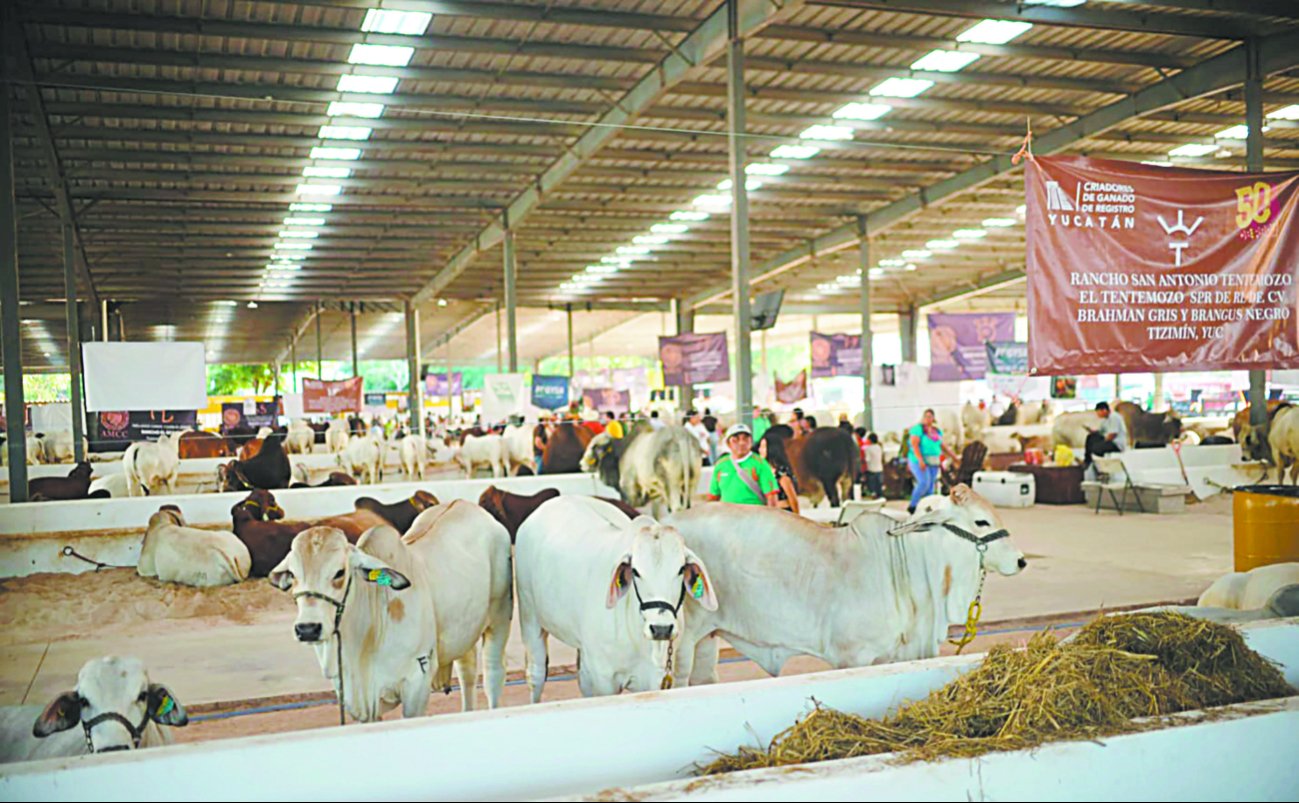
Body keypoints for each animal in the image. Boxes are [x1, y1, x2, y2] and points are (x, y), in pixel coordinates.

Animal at [268, 498, 511, 717]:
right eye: (293, 574)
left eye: (339, 572)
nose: (308, 628)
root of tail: (471, 506)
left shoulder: (417, 681)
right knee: (467, 673)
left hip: (498, 619)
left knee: (493, 675)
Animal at [517, 493, 722, 696]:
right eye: (636, 571)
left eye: (681, 569)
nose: (661, 628)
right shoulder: (604, 678)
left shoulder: (658, 677)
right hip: (530, 618)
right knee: (536, 675)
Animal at [670, 480, 1023, 680]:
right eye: (981, 521)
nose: (1020, 560)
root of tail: (670, 522)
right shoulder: (853, 655)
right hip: (683, 643)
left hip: (707, 639)